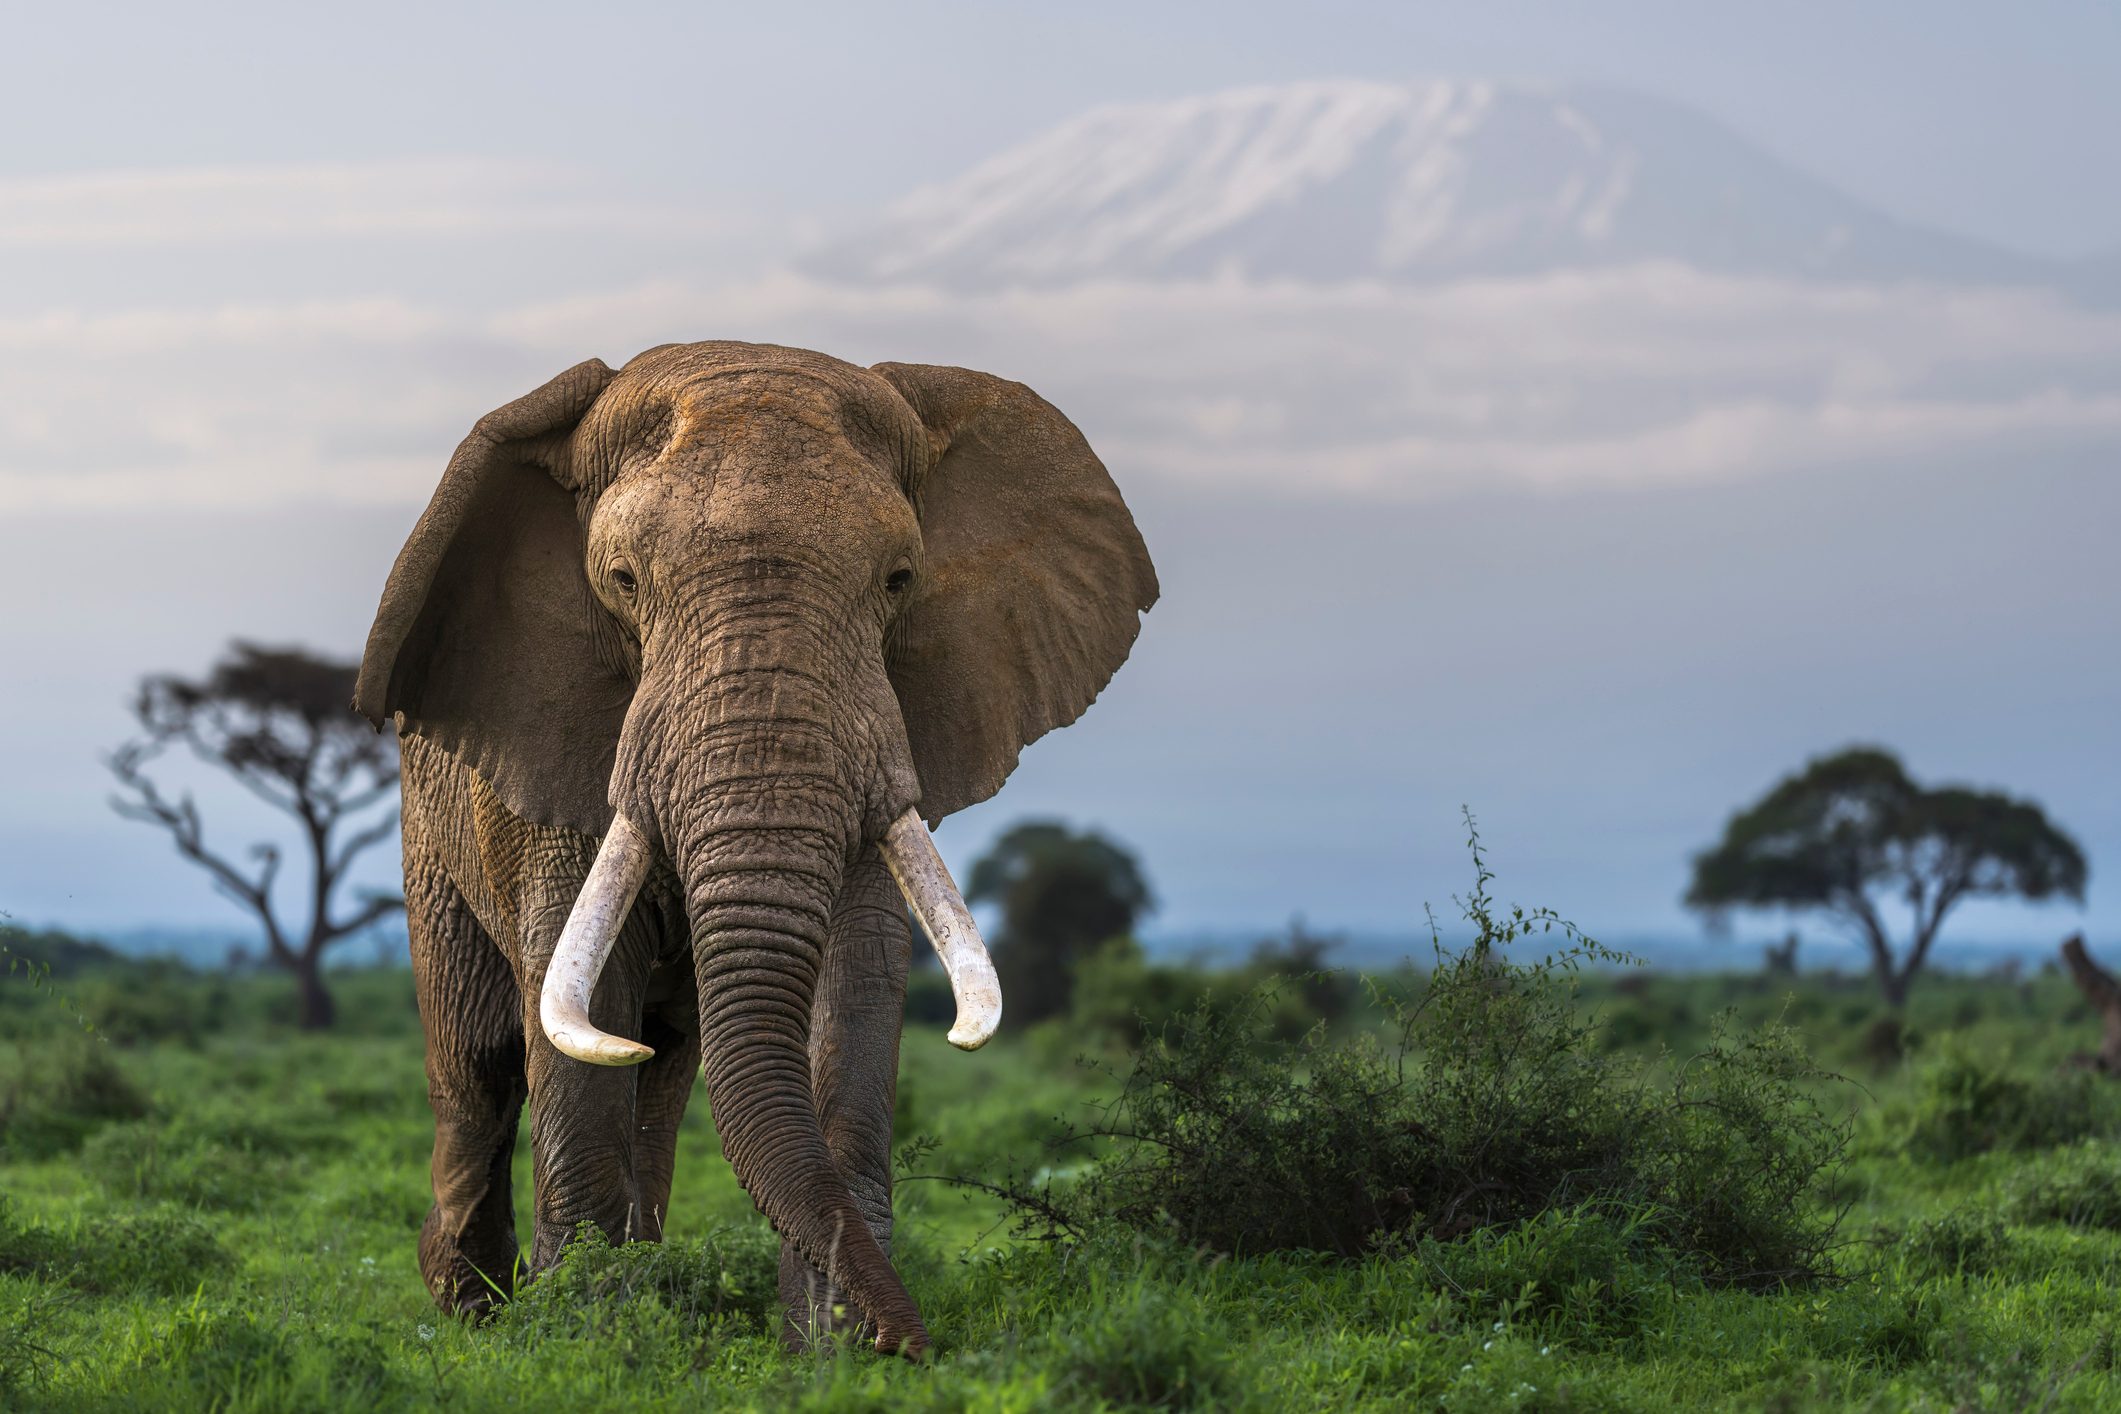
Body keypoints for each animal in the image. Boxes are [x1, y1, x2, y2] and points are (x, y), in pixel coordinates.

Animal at [353, 341, 1157, 1357]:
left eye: (899, 580)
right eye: (623, 581)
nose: (925, 1347)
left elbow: (853, 983)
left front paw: (831, 1356)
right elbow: (575, 1016)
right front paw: (584, 1345)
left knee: (657, 1069)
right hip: (431, 831)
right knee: (481, 1065)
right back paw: (474, 1314)